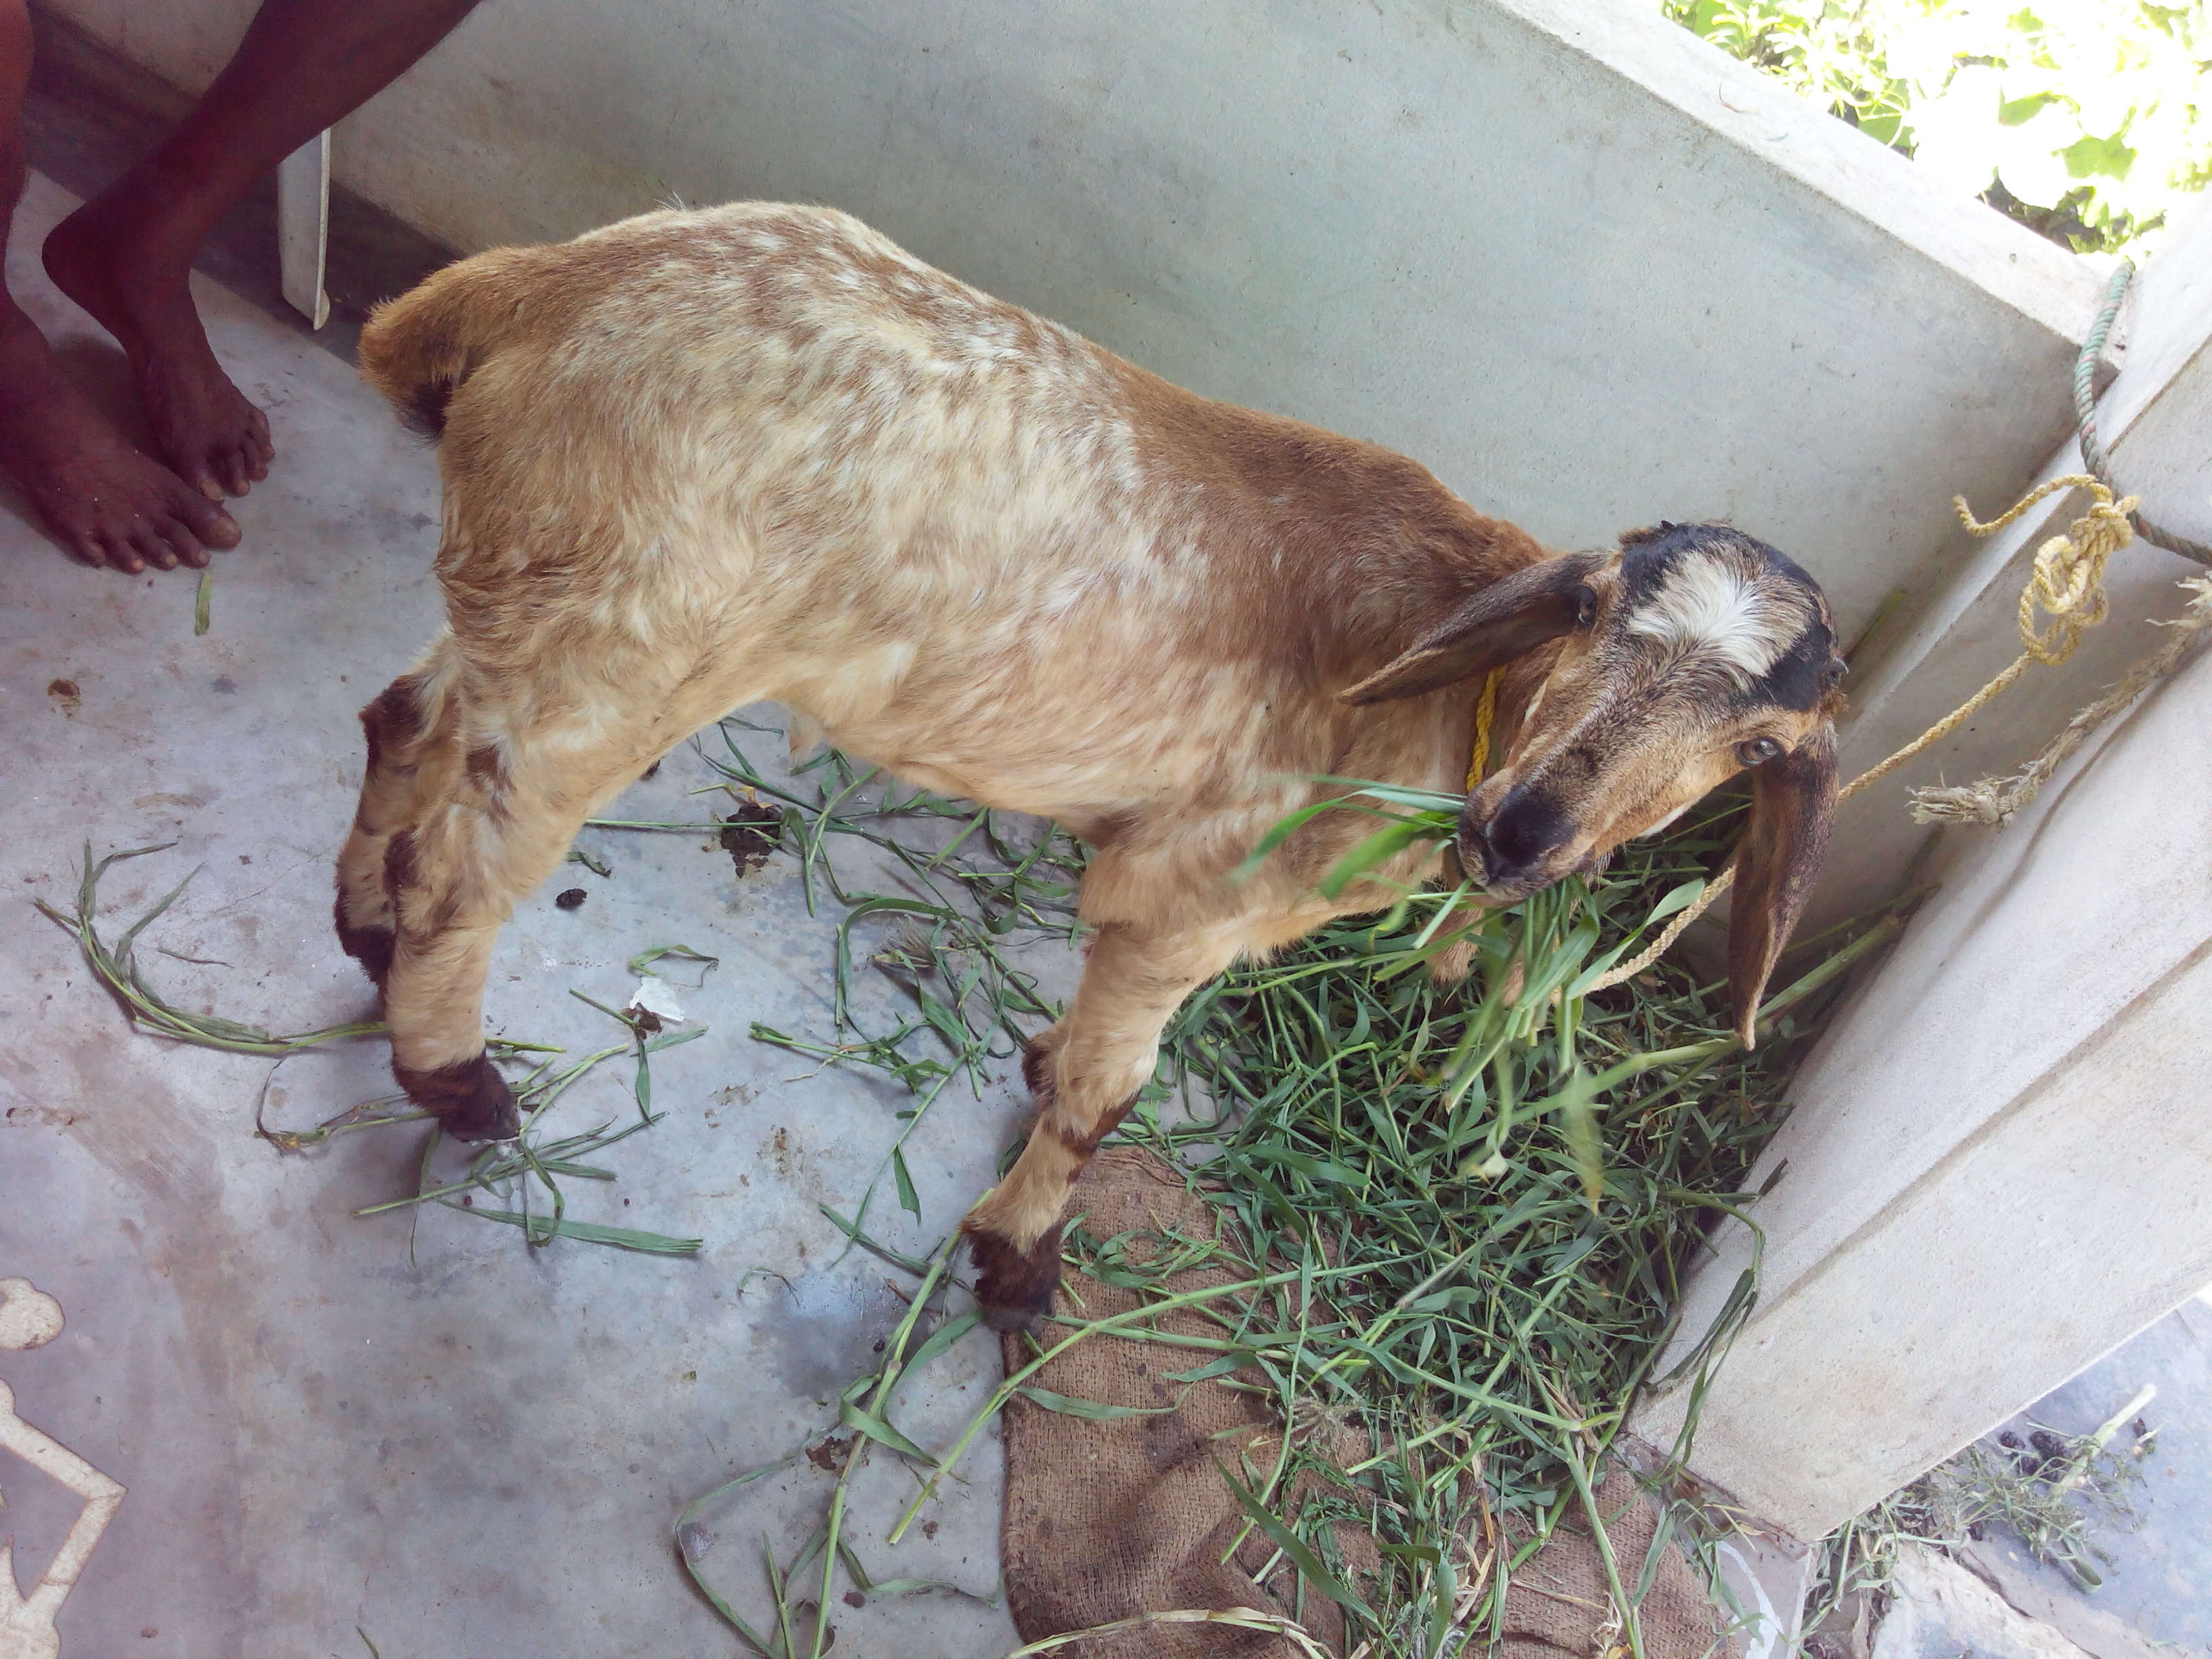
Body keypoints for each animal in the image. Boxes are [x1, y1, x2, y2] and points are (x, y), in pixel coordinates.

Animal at [336, 204, 1840, 1327]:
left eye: (1757, 745)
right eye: (1587, 610)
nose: (1525, 832)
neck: (1459, 688)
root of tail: (535, 287)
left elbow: (1081, 1065)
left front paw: (1038, 1070)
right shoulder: (1190, 893)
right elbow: (1113, 1099)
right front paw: (1018, 1260)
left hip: (532, 605)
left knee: (403, 720)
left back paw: (362, 932)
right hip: (624, 650)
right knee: (467, 872)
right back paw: (456, 1078)